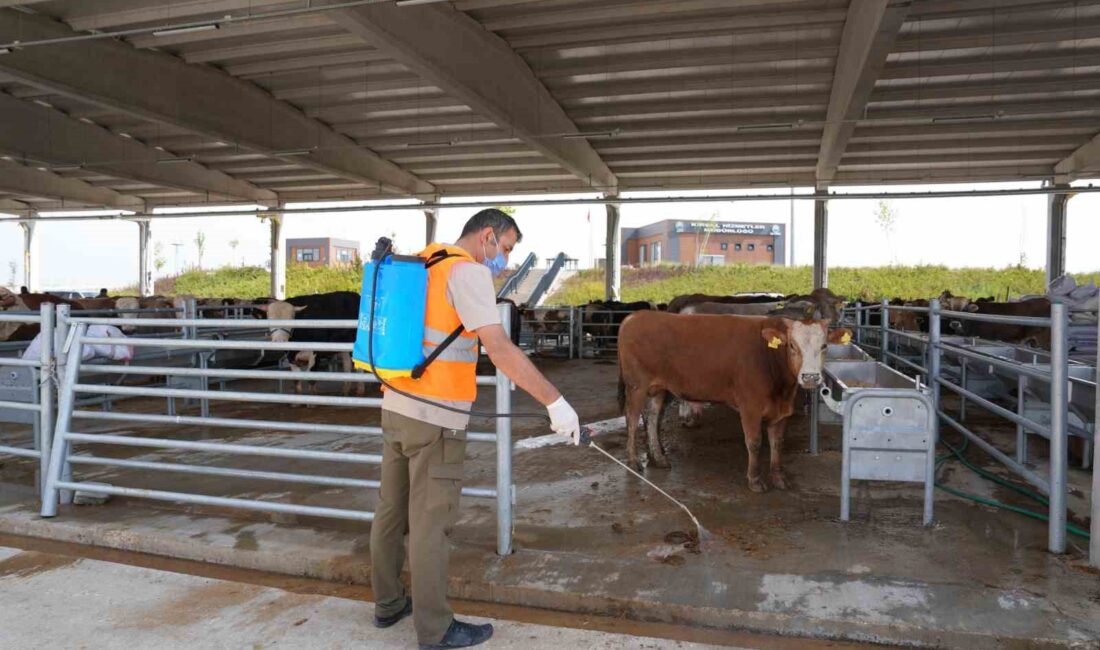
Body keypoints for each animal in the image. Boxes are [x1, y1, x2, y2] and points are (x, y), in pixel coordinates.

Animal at [620, 312, 849, 490]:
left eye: (824, 346)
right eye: (792, 345)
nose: (810, 377)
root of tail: (635, 317)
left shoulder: (782, 412)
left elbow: (777, 444)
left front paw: (778, 478)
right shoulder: (750, 408)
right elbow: (754, 443)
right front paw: (755, 480)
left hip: (658, 389)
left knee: (651, 418)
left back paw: (659, 458)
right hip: (637, 386)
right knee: (631, 418)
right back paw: (633, 460)